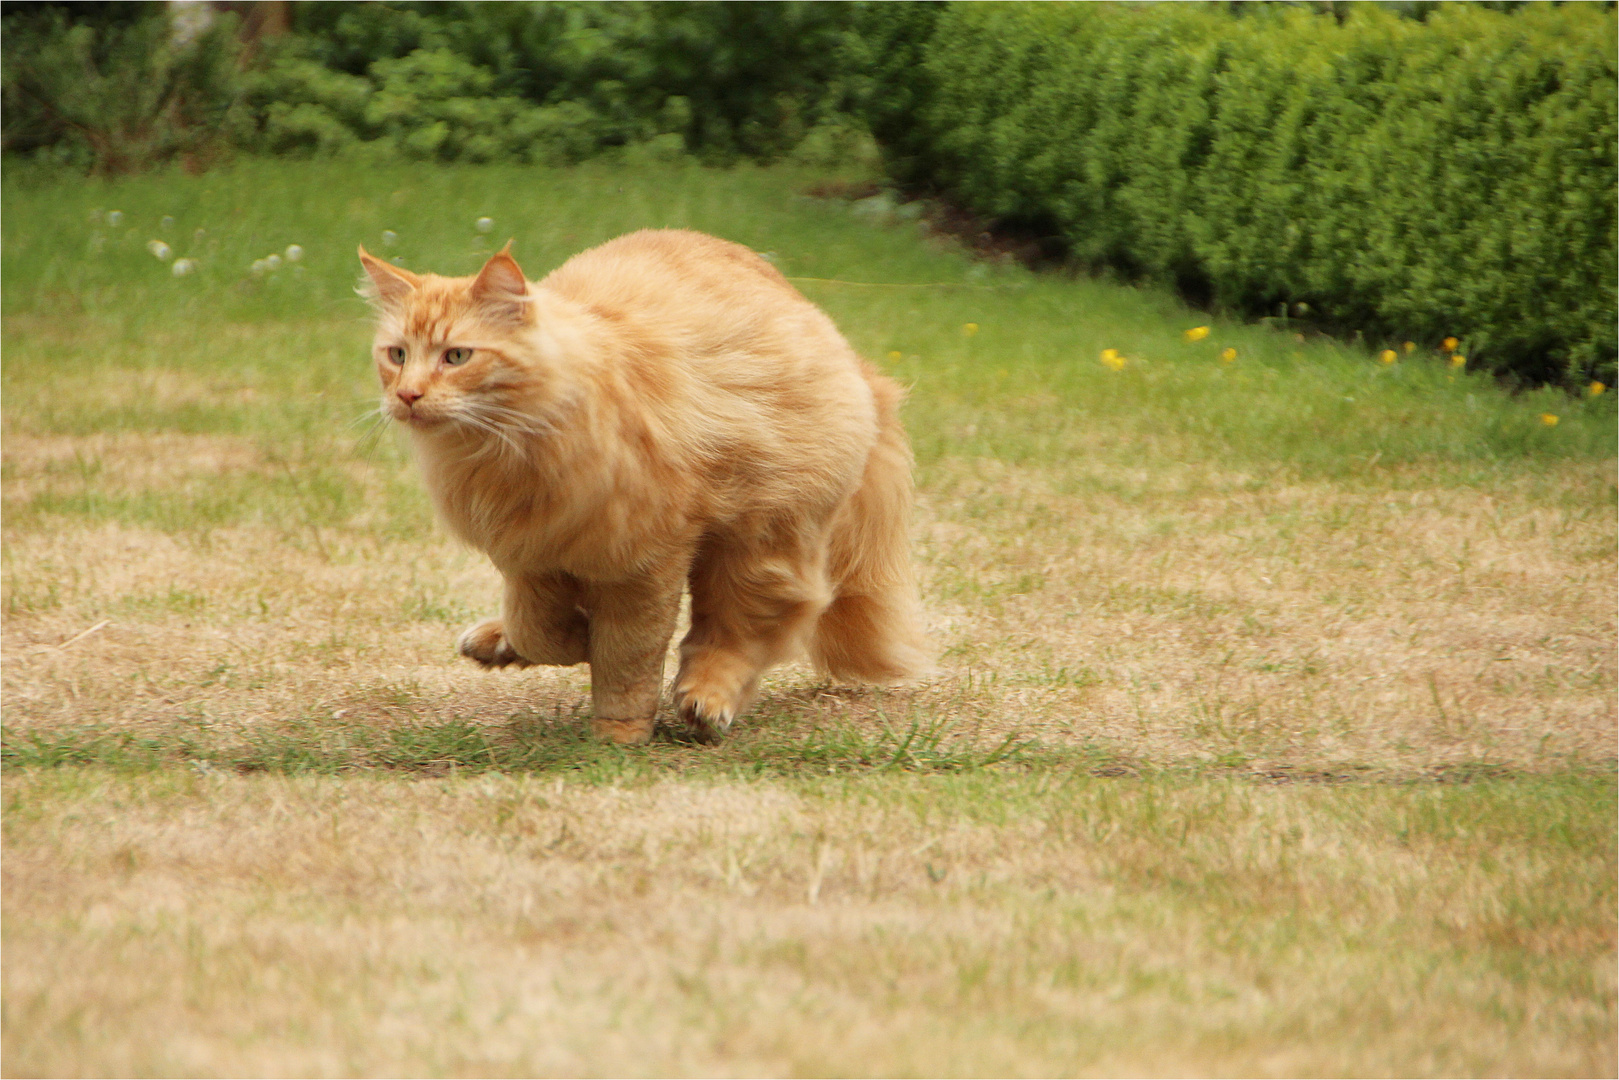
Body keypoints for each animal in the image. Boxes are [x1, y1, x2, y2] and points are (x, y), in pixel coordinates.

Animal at [361, 229, 932, 744]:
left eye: (456, 357)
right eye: (397, 355)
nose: (408, 395)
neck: (501, 452)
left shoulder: (643, 561)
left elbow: (627, 656)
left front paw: (618, 731)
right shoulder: (529, 554)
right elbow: (538, 629)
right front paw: (568, 639)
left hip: (760, 543)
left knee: (738, 636)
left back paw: (706, 702)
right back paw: (498, 640)